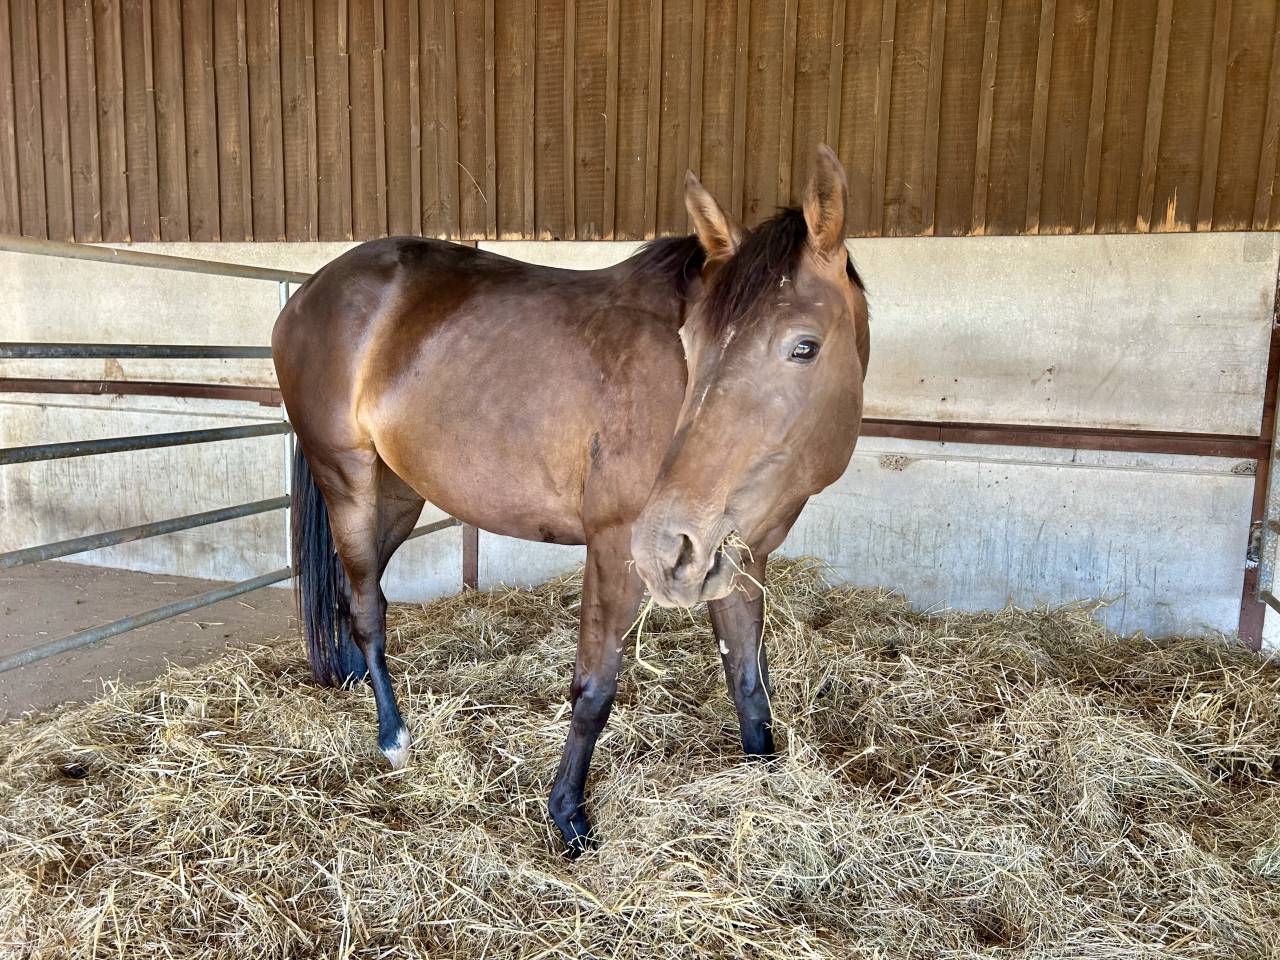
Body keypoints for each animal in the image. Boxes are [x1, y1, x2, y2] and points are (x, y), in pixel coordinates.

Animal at [272, 145, 870, 856]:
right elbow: (595, 686)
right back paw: (393, 737)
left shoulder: (737, 556)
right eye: (689, 346)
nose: (666, 543)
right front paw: (568, 817)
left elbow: (749, 682)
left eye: (805, 346)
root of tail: (310, 291)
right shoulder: (616, 545)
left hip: (398, 496)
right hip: (349, 481)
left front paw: (764, 779)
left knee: (352, 594)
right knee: (367, 607)